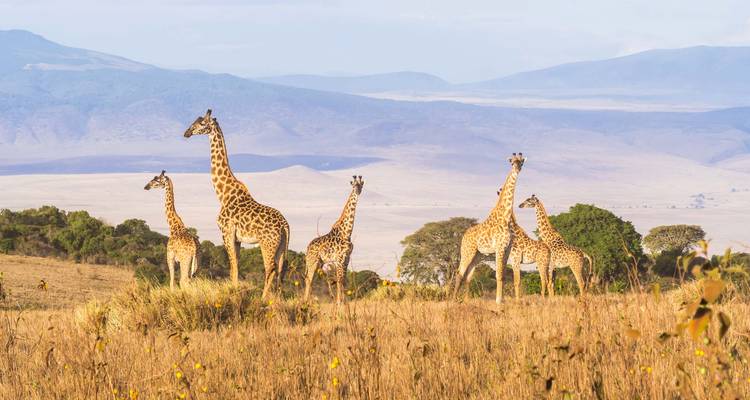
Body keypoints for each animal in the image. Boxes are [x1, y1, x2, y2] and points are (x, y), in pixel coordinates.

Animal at [183, 110, 290, 299]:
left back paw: (263, 298)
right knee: (280, 270)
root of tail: (285, 225)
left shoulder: (226, 232)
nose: (187, 132)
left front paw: (233, 292)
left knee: (270, 269)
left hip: (267, 244)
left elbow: (232, 267)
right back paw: (277, 299)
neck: (223, 194)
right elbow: (237, 267)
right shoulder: (238, 238)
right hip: (281, 246)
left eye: (202, 123)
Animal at [303, 176, 364, 305]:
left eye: (361, 185)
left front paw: (343, 303)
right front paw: (339, 303)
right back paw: (306, 302)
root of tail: (307, 248)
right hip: (313, 261)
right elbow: (339, 281)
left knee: (310, 279)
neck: (346, 232)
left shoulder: (346, 260)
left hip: (320, 262)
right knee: (309, 279)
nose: (357, 191)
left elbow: (342, 281)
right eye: (353, 185)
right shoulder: (340, 260)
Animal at [453, 153, 526, 304]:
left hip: (478, 255)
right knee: (460, 273)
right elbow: (498, 275)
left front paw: (502, 300)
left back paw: (466, 300)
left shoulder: (507, 249)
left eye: (521, 162)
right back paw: (452, 299)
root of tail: (464, 236)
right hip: (467, 251)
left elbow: (503, 275)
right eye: (512, 162)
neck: (506, 217)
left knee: (468, 276)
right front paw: (498, 301)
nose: (517, 169)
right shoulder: (499, 247)